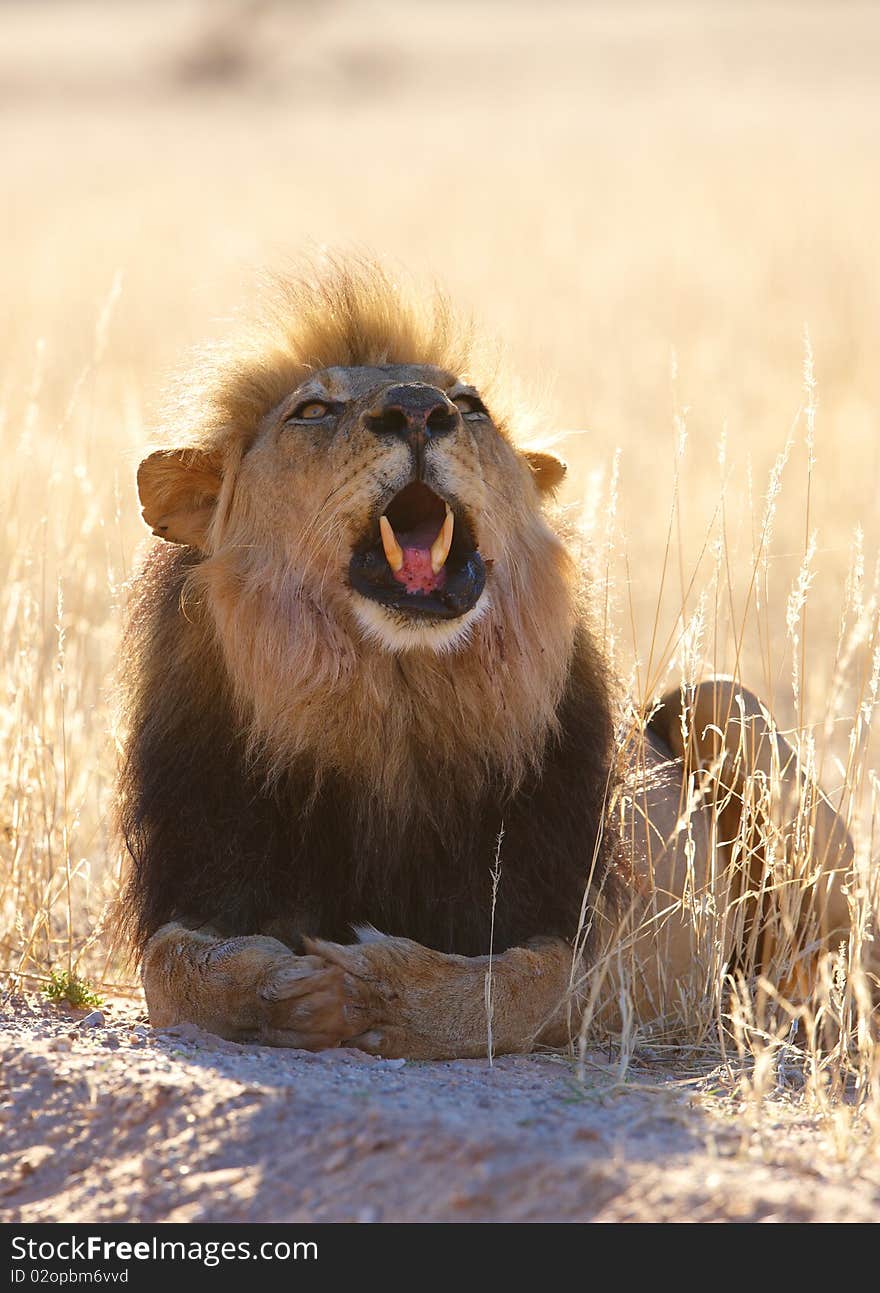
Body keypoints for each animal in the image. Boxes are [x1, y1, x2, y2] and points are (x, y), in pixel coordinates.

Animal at [118, 257, 858, 1055]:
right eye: (312, 411)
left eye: (469, 405)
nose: (418, 409)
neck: (393, 699)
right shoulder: (209, 867)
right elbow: (170, 966)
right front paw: (279, 987)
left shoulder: (610, 944)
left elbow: (519, 987)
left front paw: (383, 990)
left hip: (715, 702)